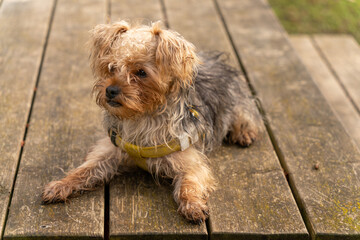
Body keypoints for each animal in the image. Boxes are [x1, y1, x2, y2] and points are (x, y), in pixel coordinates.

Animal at [42, 20, 262, 223]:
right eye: (111, 68)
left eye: (141, 73)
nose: (110, 90)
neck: (141, 117)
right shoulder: (109, 152)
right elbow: (83, 170)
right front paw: (60, 185)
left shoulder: (191, 162)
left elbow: (189, 184)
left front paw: (192, 205)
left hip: (236, 100)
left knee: (246, 115)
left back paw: (244, 132)